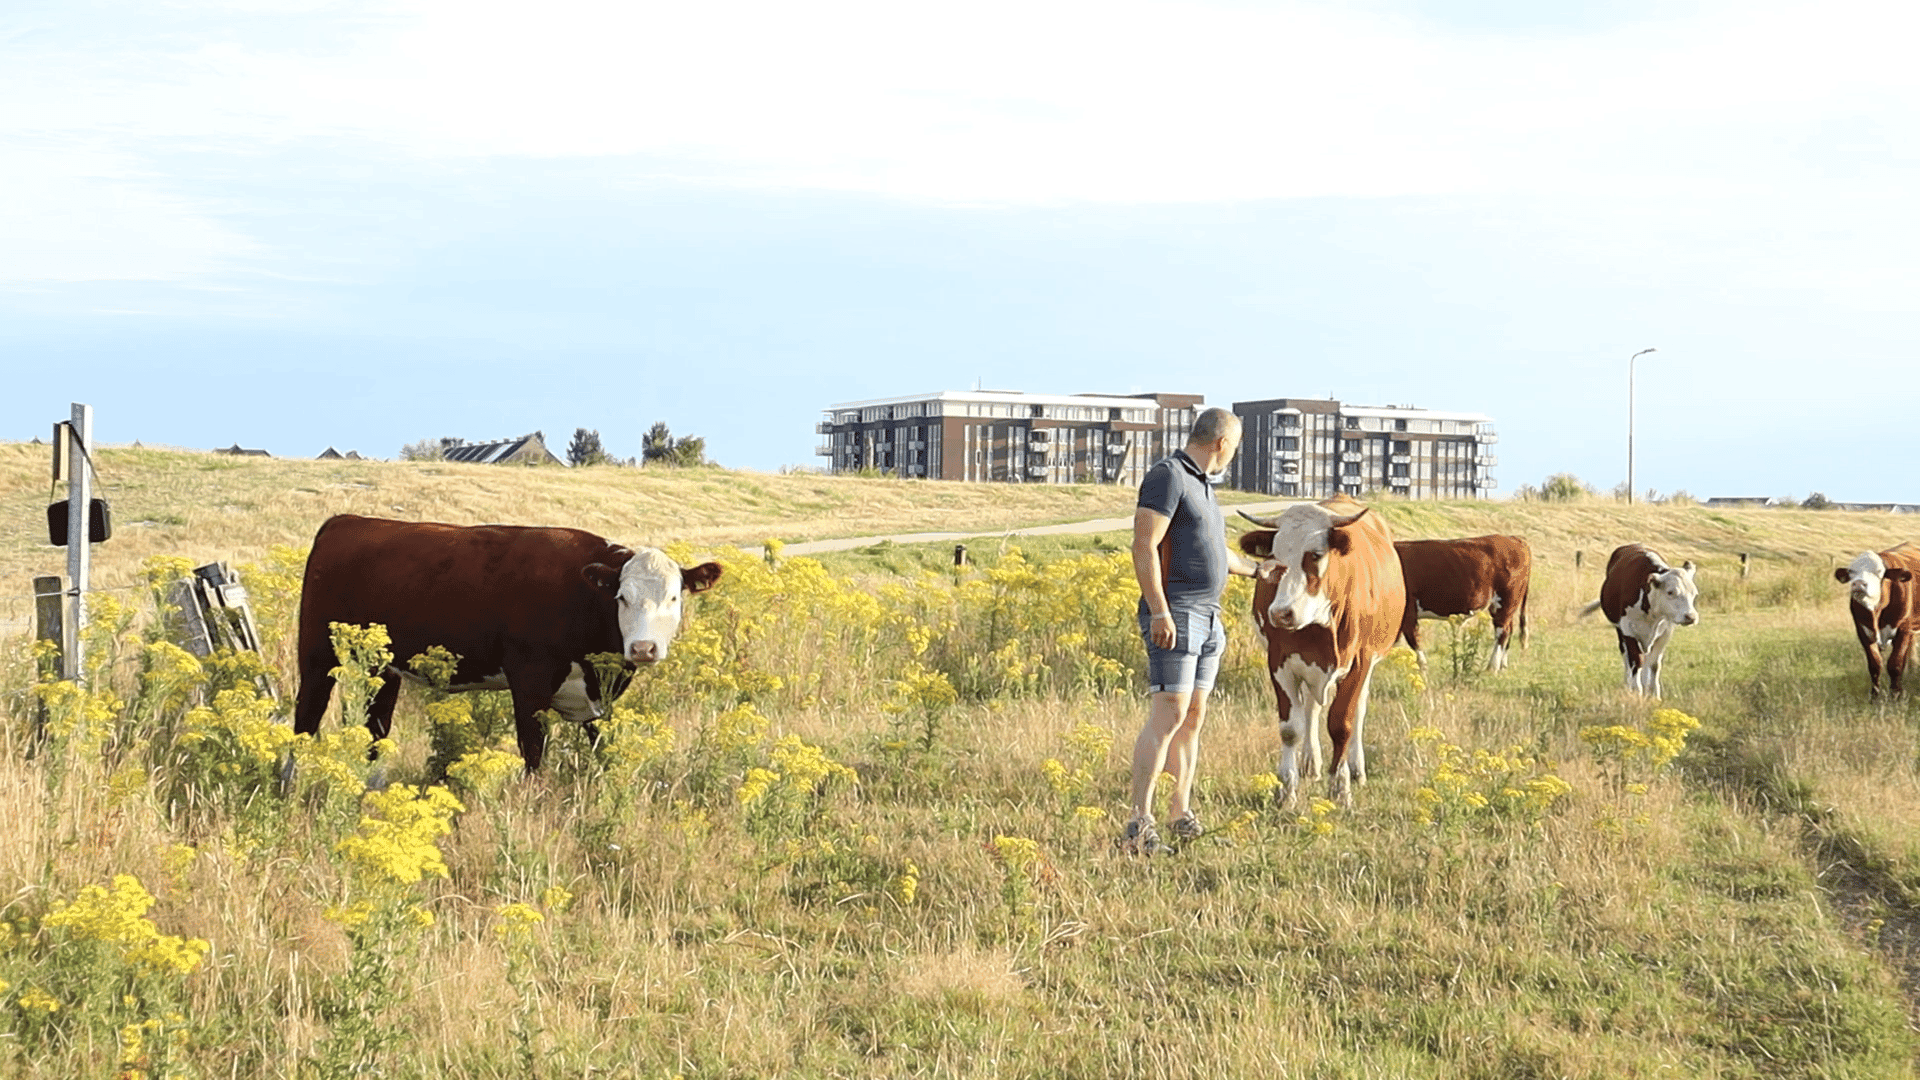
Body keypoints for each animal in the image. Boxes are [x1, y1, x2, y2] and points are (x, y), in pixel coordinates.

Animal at [291, 511, 721, 764]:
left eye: (674, 596)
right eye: (622, 597)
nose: (643, 648)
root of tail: (346, 520)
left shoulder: (598, 698)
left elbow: (601, 751)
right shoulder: (529, 679)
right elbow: (533, 753)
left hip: (384, 668)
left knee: (375, 730)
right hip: (316, 654)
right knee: (305, 719)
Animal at [1236, 491, 1405, 803]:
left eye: (1315, 554)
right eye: (1274, 557)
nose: (1281, 613)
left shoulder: (1359, 663)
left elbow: (1342, 725)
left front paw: (1340, 787)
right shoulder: (1279, 662)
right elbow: (1291, 728)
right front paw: (1286, 789)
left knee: (1358, 712)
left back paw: (1356, 768)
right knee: (1311, 709)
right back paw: (1310, 764)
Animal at [1390, 534, 1536, 668]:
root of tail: (1513, 538)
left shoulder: (1408, 614)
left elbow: (1416, 649)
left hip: (1506, 600)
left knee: (1502, 632)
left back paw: (1492, 668)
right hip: (1506, 604)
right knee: (1509, 630)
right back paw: (1502, 667)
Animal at [1582, 541, 1704, 691]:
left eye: (1694, 593)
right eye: (1670, 592)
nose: (1691, 617)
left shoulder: (1666, 631)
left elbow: (1654, 663)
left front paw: (1653, 692)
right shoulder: (1627, 629)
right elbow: (1636, 659)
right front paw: (1636, 690)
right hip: (1620, 630)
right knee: (1626, 655)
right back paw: (1628, 682)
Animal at [1827, 541, 1920, 691]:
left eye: (1879, 571)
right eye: (1851, 572)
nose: (1859, 583)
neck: (1876, 613)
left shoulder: (1904, 629)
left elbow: (1895, 664)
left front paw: (1896, 694)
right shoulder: (1863, 631)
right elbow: (1875, 665)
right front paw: (1875, 695)